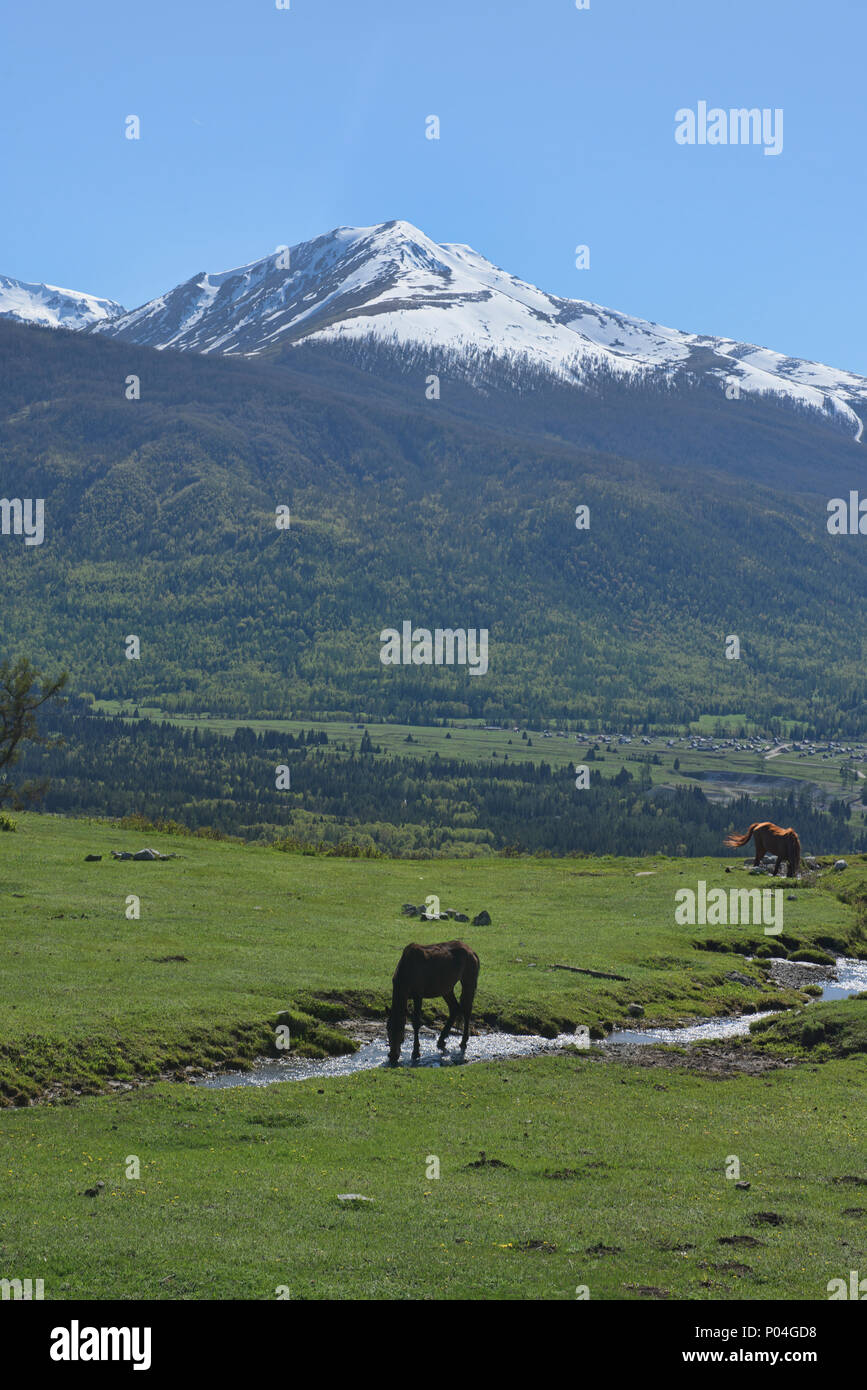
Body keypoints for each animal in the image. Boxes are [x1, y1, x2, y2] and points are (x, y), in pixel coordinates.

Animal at [389, 939, 480, 1067]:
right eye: (388, 1029)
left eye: (401, 1030)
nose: (392, 1056)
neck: (407, 970)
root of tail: (472, 951)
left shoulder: (418, 996)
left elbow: (416, 1023)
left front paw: (416, 1052)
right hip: (446, 988)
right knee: (454, 1008)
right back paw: (441, 1039)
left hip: (468, 983)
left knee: (466, 1010)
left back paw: (463, 1041)